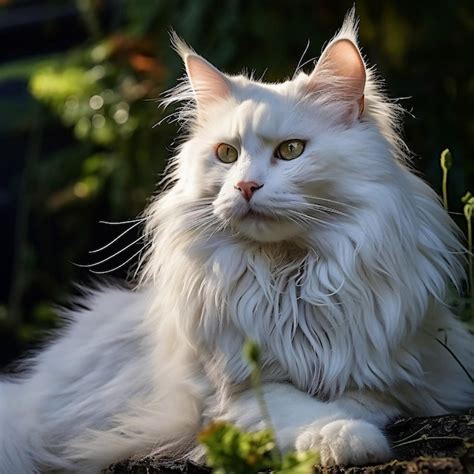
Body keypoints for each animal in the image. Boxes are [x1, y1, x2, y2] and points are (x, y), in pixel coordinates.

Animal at [0, 9, 474, 472]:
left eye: (291, 150)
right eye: (226, 155)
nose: (245, 186)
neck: (290, 279)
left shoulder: (412, 367)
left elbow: (370, 395)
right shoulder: (235, 393)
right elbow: (303, 410)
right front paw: (348, 438)